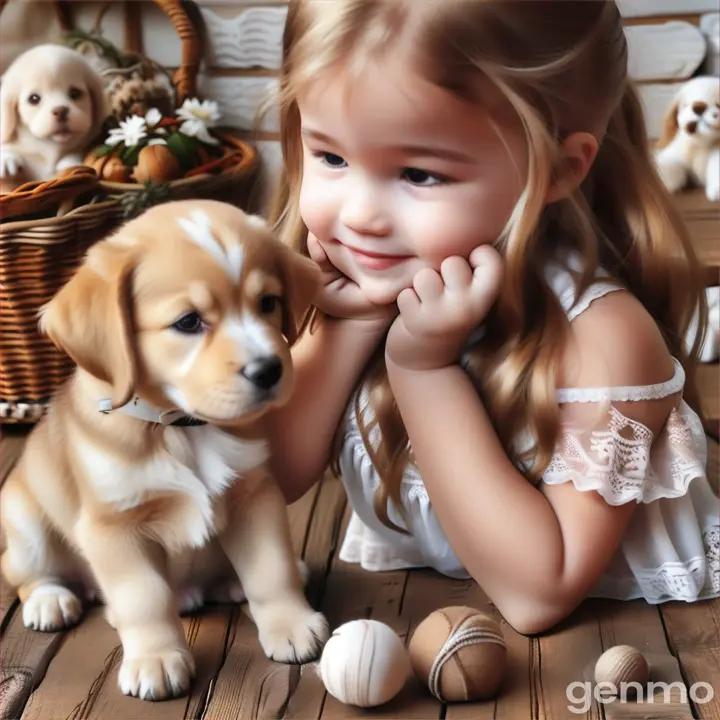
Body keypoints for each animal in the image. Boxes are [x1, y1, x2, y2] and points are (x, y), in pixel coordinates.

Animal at [0, 42, 107, 191]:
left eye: (75, 93)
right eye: (34, 98)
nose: (60, 111)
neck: (50, 152)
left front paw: (69, 162)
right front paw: (6, 159)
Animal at [0, 200, 330, 700]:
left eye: (268, 303)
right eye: (188, 322)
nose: (270, 370)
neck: (181, 429)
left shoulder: (255, 494)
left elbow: (271, 568)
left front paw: (291, 623)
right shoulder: (113, 527)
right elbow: (144, 598)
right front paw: (155, 658)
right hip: (23, 521)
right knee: (24, 573)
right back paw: (50, 599)